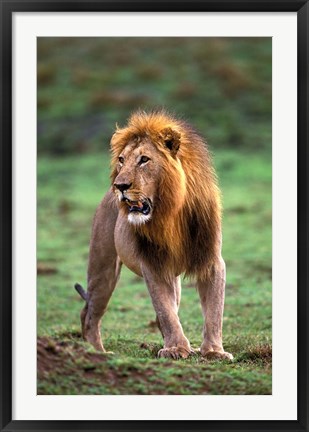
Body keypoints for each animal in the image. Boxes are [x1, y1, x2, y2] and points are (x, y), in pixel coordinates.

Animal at [76, 109, 232, 360]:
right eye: (121, 160)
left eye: (144, 160)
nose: (120, 186)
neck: (171, 212)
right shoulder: (154, 263)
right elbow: (166, 310)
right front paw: (176, 348)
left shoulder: (211, 260)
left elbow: (214, 310)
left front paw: (214, 351)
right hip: (103, 269)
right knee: (89, 312)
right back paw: (98, 352)